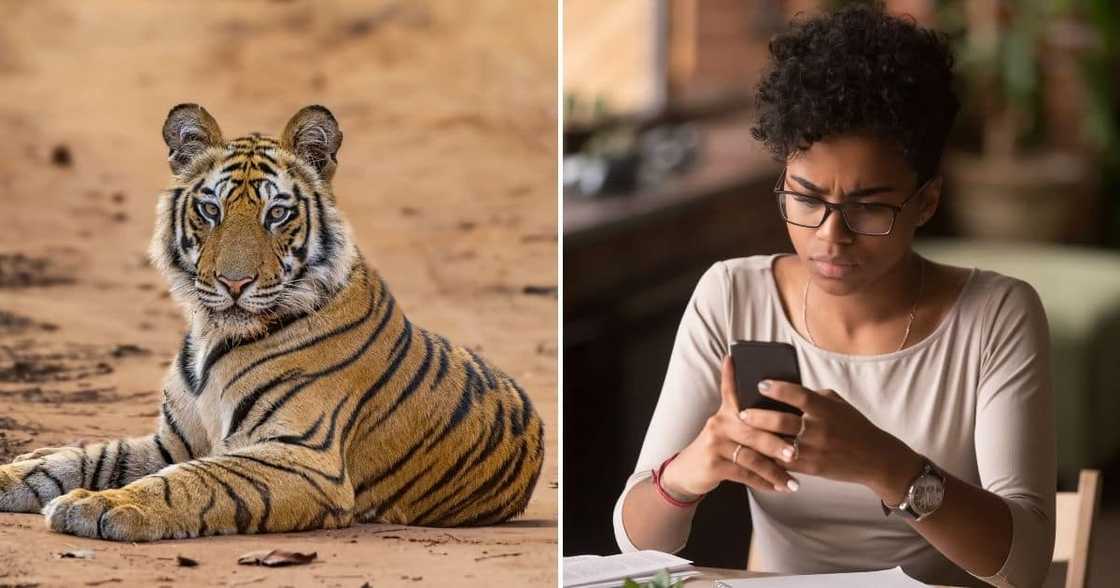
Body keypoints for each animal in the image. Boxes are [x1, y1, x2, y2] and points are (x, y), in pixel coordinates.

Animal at [0, 104, 545, 541]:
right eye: (210, 209)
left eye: (277, 214)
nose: (234, 283)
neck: (213, 334)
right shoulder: (173, 441)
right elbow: (90, 456)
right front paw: (16, 475)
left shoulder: (303, 456)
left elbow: (192, 480)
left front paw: (101, 504)